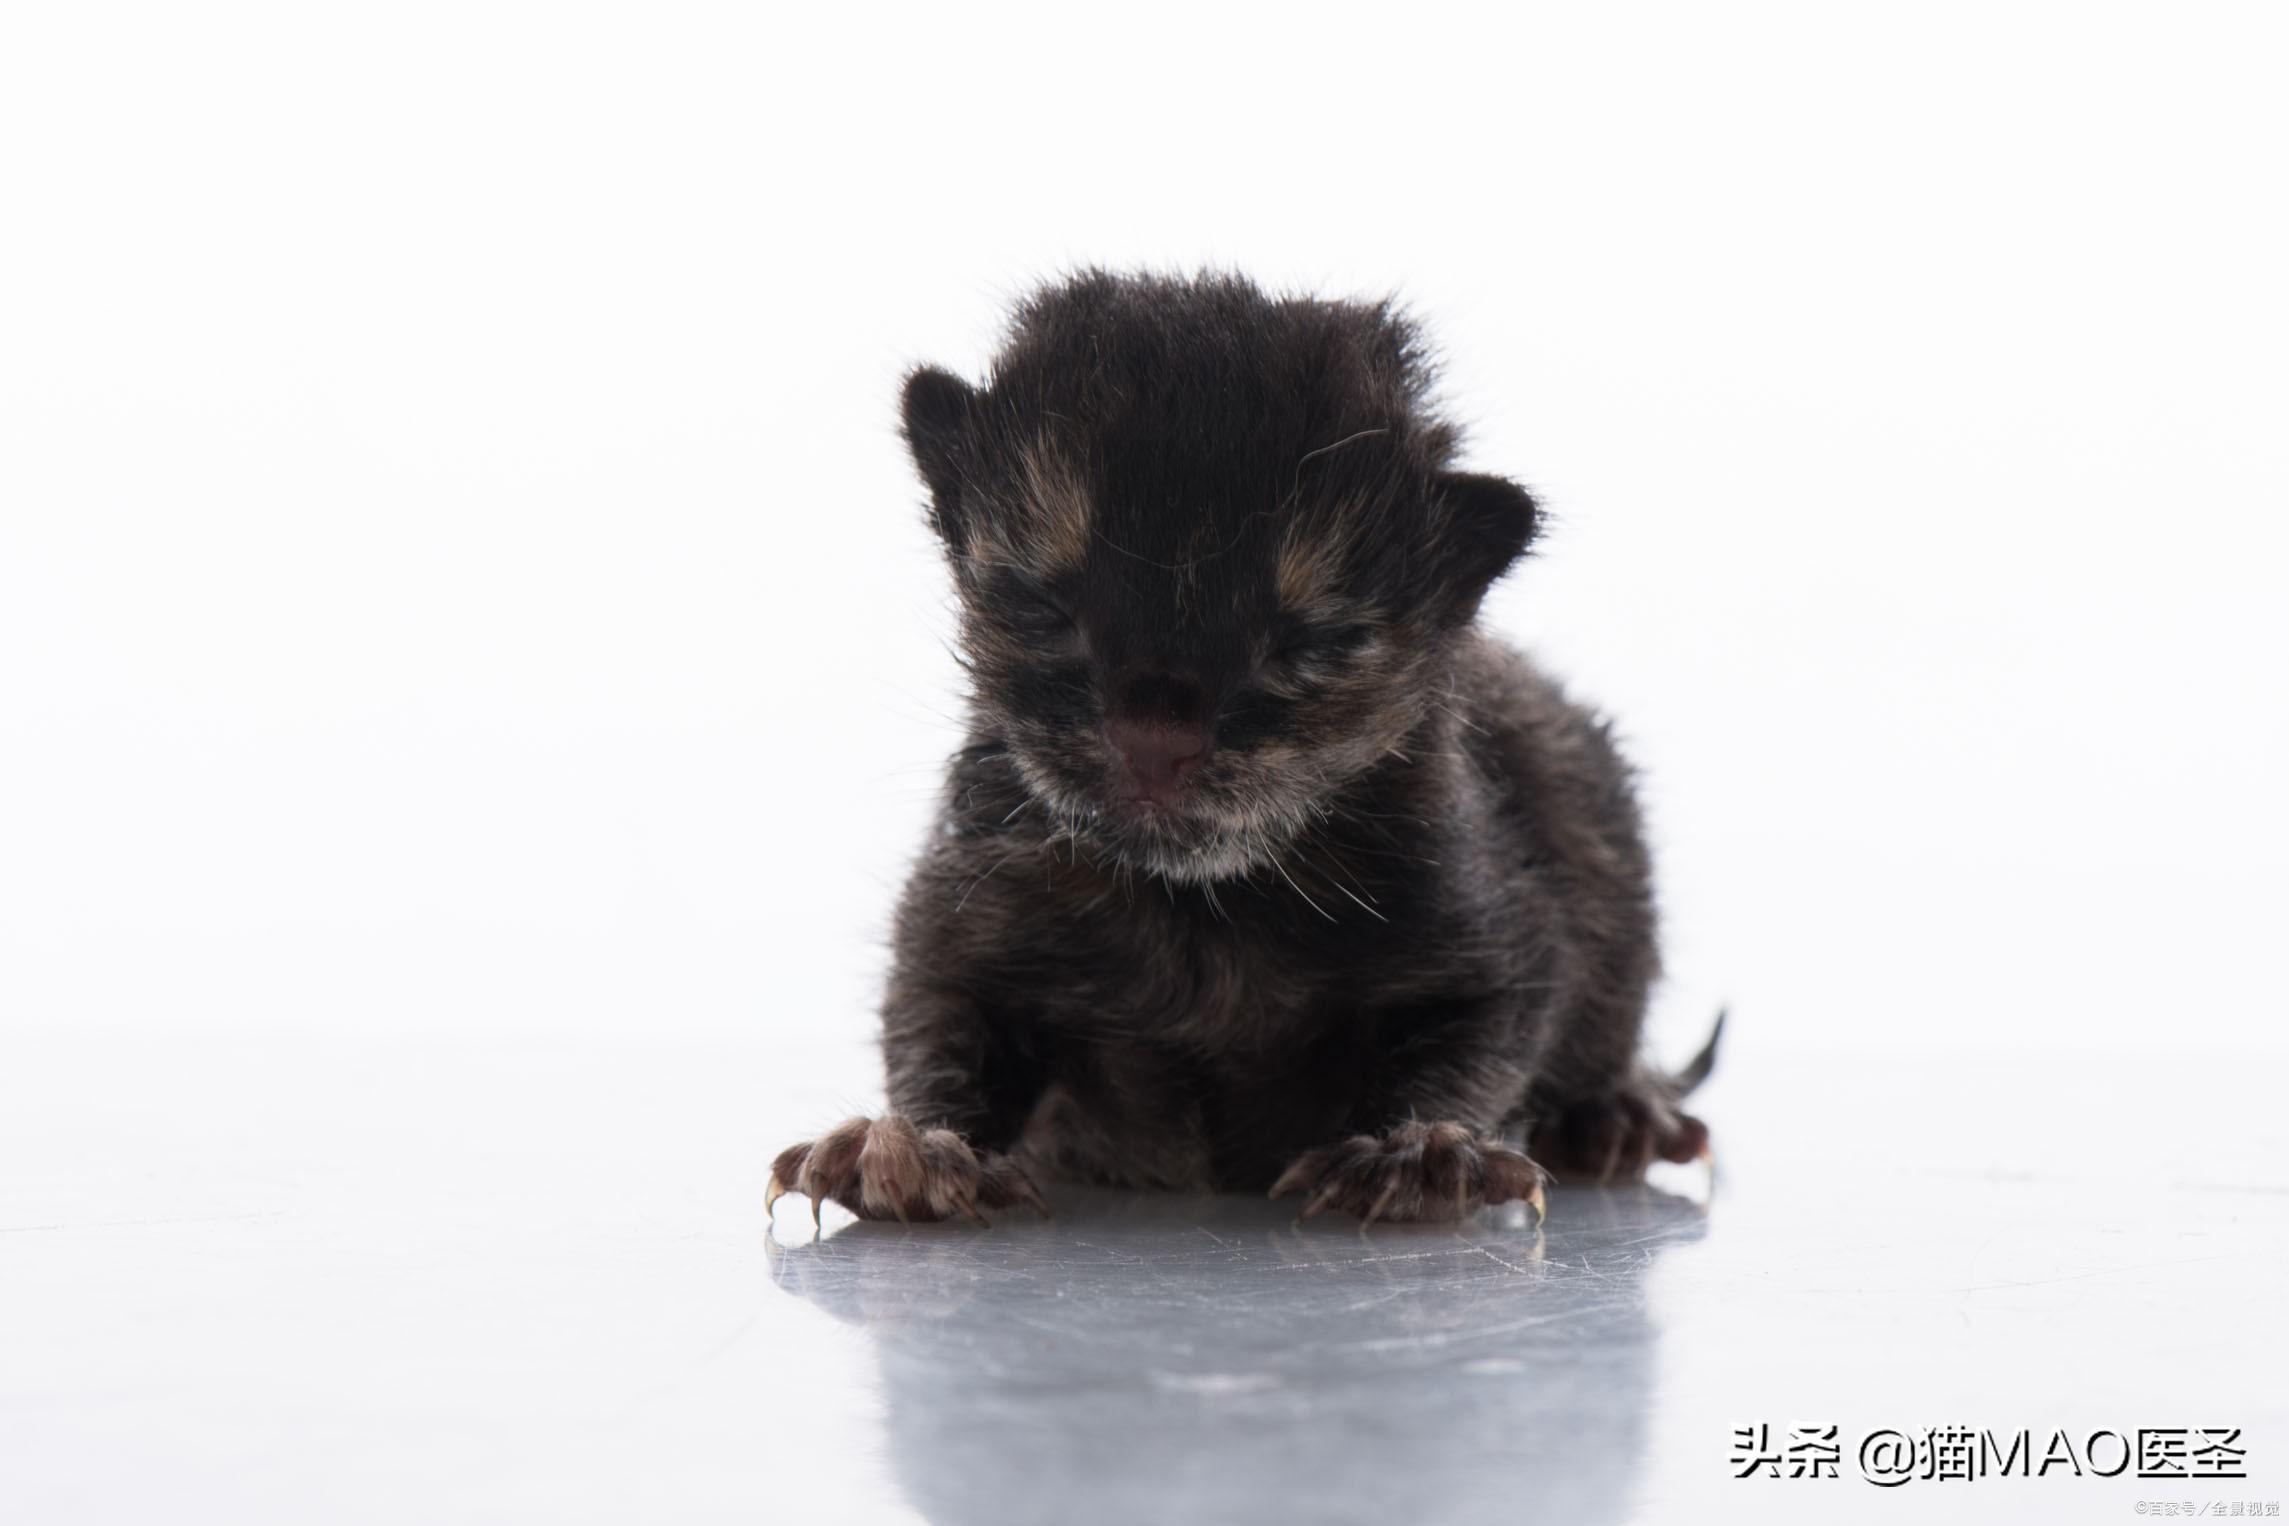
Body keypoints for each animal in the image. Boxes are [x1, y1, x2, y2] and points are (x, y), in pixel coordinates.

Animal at [769, 271, 1721, 1226]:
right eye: (1044, 607)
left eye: (1308, 643)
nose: (1155, 741)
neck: (1200, 909)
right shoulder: (953, 930)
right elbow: (934, 1031)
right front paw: (916, 1148)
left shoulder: (1505, 948)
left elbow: (1468, 1054)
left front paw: (1415, 1153)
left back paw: (1616, 1115)